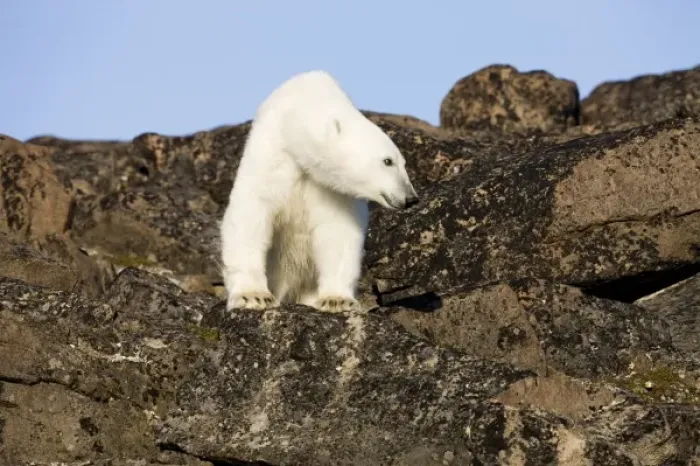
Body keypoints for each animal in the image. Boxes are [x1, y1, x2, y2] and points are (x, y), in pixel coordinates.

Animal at [219, 70, 419, 313]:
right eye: (388, 161)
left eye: (404, 163)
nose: (410, 198)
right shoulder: (271, 156)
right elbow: (252, 213)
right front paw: (253, 296)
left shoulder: (332, 190)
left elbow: (337, 229)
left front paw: (337, 300)